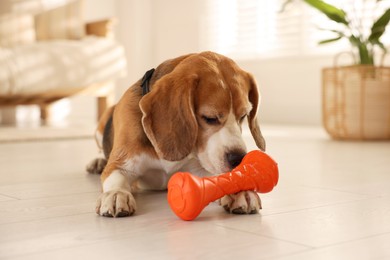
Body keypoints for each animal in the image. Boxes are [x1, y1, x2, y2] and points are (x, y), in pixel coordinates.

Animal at [87, 50, 266, 217]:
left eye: (243, 116)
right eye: (209, 118)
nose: (239, 159)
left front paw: (238, 190)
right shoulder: (121, 163)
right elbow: (116, 177)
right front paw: (116, 194)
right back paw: (97, 162)